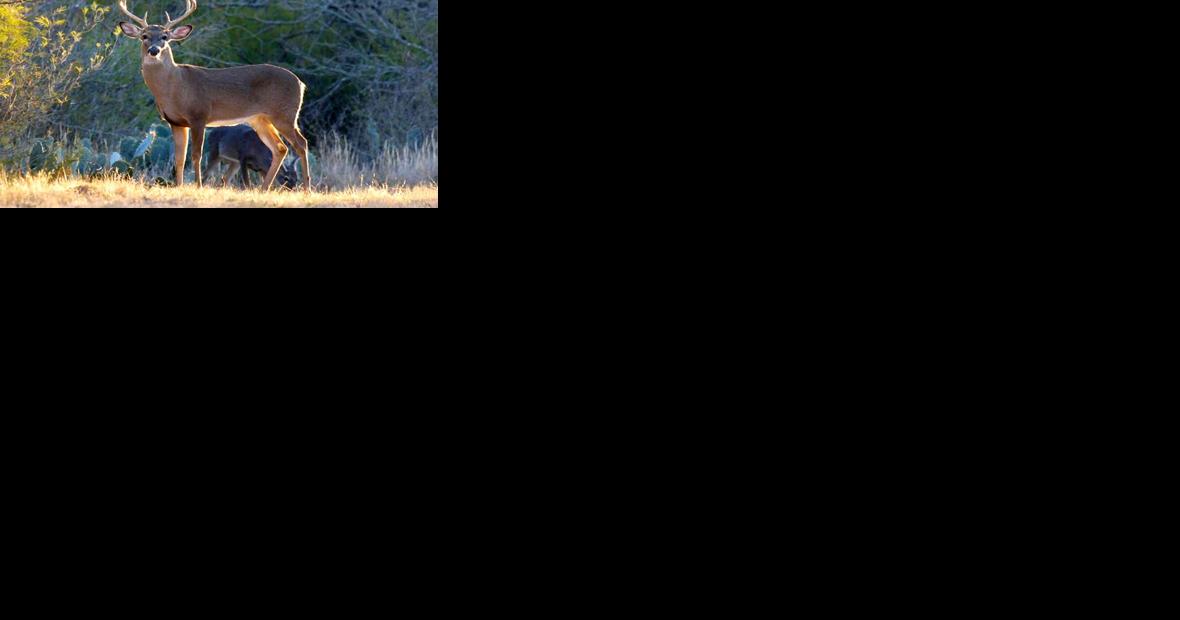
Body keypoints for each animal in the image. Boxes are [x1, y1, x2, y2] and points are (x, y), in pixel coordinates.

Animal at [116, 0, 312, 191]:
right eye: (144, 36)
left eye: (165, 37)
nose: (154, 50)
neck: (175, 87)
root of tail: (300, 83)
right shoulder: (176, 122)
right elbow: (179, 158)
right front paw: (179, 186)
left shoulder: (199, 115)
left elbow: (196, 155)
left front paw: (198, 186)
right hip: (260, 119)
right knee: (280, 148)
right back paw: (264, 189)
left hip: (284, 114)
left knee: (301, 144)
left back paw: (306, 188)